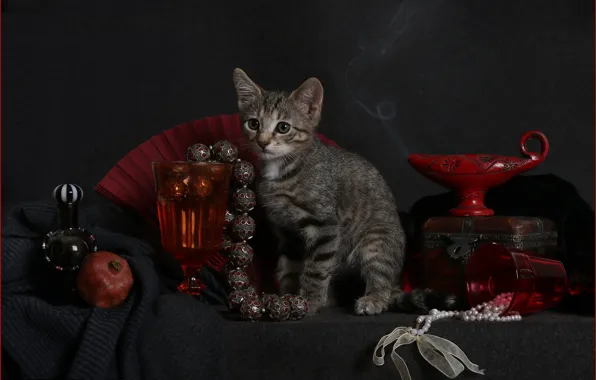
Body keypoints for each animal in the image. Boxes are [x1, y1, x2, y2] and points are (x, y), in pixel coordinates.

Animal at [233, 67, 456, 314]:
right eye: (254, 124)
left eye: (283, 127)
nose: (262, 142)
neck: (285, 169)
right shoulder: (288, 233)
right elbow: (290, 267)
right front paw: (289, 298)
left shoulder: (324, 226)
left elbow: (316, 269)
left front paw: (309, 301)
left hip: (376, 239)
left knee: (381, 276)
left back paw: (374, 298)